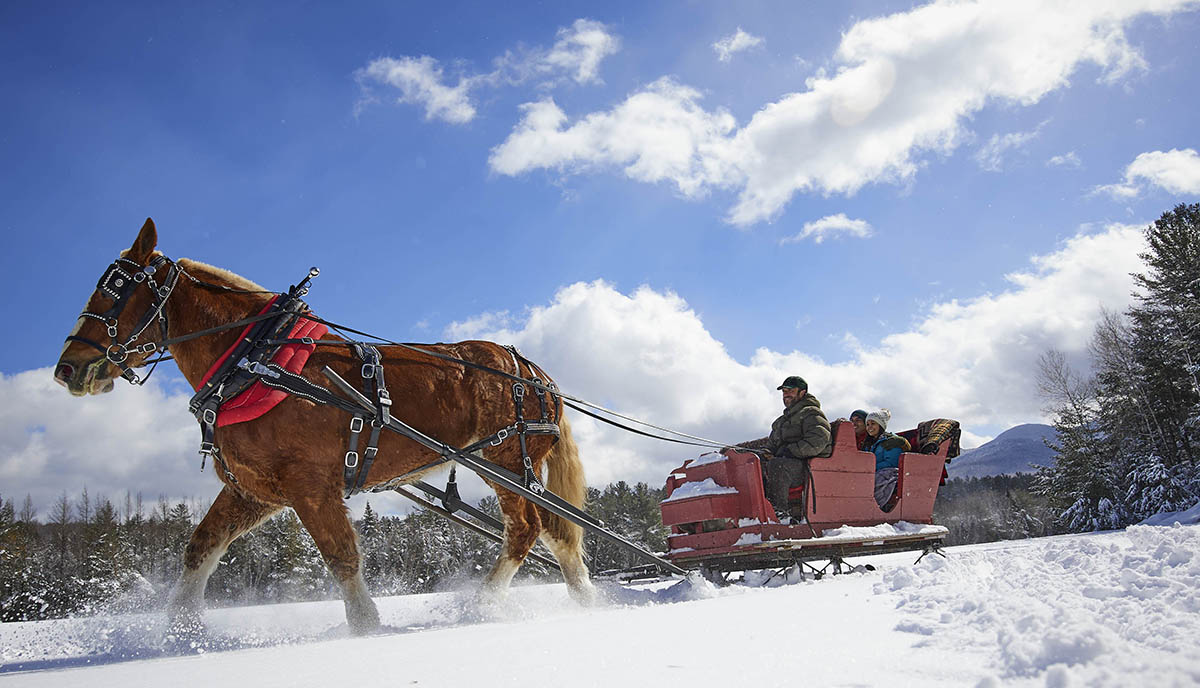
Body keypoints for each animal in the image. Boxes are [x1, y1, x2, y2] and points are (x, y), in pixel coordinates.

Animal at [53, 218, 594, 634]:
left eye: (114, 291)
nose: (66, 368)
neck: (258, 358)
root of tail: (536, 374)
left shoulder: (310, 485)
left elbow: (341, 556)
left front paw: (365, 628)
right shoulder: (255, 491)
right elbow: (199, 548)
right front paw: (180, 632)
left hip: (503, 461)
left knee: (526, 530)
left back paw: (481, 607)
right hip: (513, 469)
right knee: (557, 532)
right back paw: (588, 602)